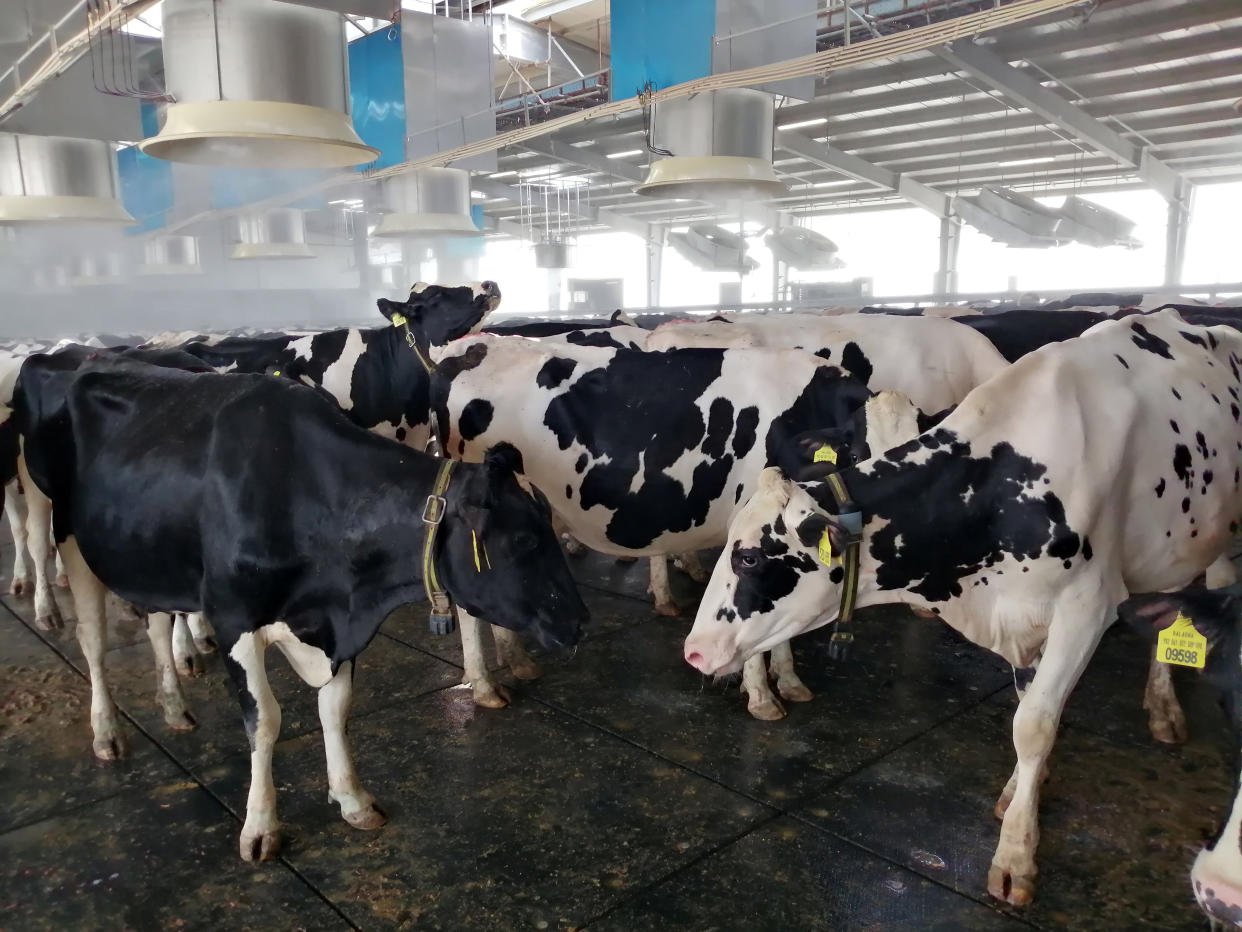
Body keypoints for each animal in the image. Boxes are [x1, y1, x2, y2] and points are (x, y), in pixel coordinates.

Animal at [14, 355, 586, 859]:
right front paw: (261, 827)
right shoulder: (233, 619)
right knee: (92, 641)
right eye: (523, 540)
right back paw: (107, 730)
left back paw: (174, 706)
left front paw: (352, 799)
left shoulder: (339, 623)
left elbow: (336, 709)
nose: (580, 621)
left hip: (149, 554)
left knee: (156, 627)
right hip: (64, 528)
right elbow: (265, 721)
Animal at [427, 335, 874, 715]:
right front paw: (761, 696)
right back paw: (484, 686)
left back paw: (518, 661)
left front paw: (789, 681)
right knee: (470, 608)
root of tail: (465, 349)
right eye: (859, 453)